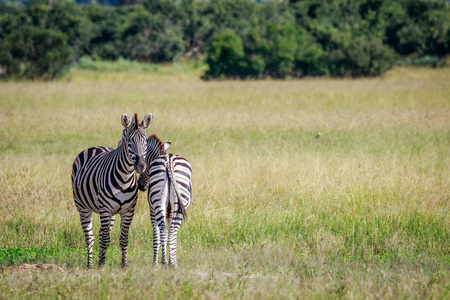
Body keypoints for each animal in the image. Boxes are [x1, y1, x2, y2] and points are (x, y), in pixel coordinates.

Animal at [72, 113, 152, 268]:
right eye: (129, 140)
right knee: (90, 237)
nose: (141, 166)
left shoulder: (128, 211)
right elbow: (105, 239)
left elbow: (124, 238)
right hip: (83, 207)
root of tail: (96, 147)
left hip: (112, 214)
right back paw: (91, 264)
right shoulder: (105, 209)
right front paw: (102, 265)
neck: (125, 178)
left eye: (145, 140)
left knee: (100, 233)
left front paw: (124, 264)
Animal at [138, 139, 192, 268]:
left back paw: (166, 262)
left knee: (164, 230)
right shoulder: (167, 212)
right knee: (171, 231)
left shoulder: (154, 211)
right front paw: (165, 259)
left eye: (144, 165)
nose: (140, 186)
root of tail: (169, 161)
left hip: (159, 202)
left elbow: (157, 236)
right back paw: (172, 263)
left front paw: (156, 262)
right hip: (177, 203)